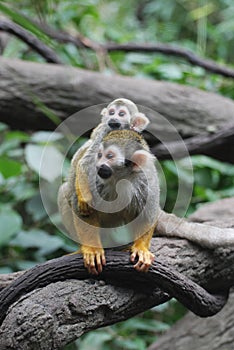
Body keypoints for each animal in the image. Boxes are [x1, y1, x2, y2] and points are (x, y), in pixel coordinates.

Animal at [57, 128, 159, 274]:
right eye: (99, 155)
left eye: (110, 156)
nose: (98, 165)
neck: (119, 178)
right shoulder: (92, 176)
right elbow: (83, 210)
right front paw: (92, 249)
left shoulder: (147, 180)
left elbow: (148, 213)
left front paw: (141, 249)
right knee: (65, 192)